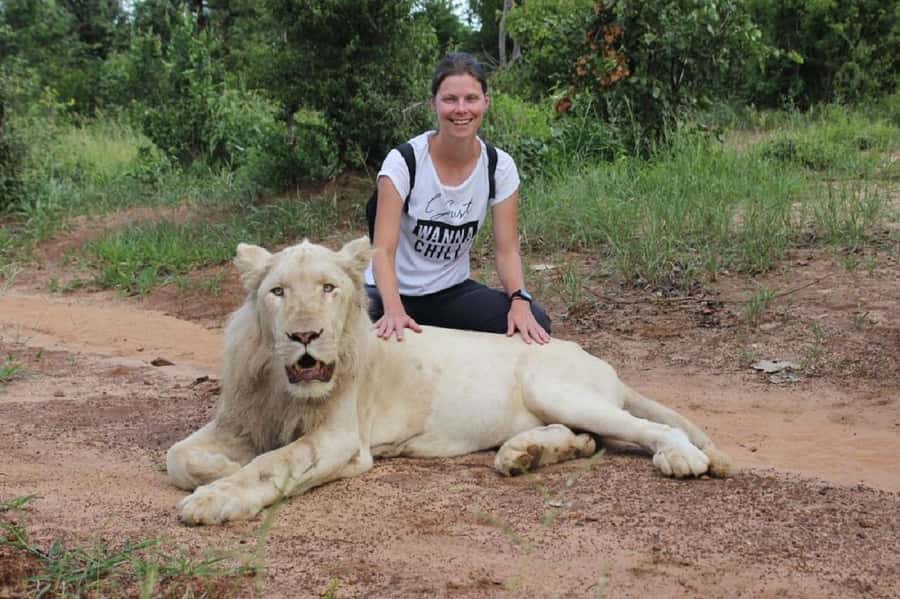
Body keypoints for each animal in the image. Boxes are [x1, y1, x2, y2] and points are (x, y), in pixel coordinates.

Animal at [166, 237, 734, 525]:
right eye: (279, 292)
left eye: (328, 288)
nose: (305, 335)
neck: (281, 385)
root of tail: (590, 354)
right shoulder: (240, 419)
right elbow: (179, 456)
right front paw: (217, 470)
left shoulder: (340, 437)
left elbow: (273, 464)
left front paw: (214, 498)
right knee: (590, 439)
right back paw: (524, 455)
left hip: (556, 389)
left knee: (646, 429)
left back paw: (680, 458)